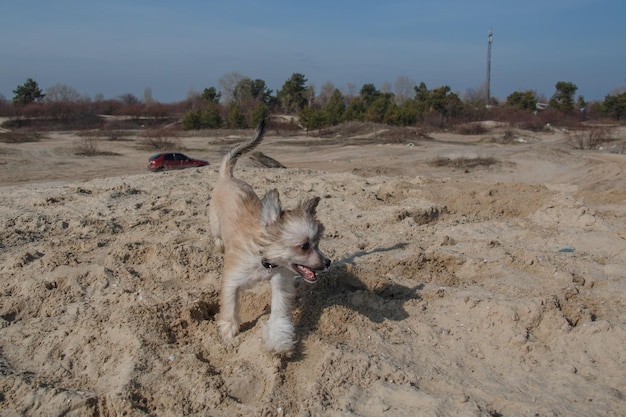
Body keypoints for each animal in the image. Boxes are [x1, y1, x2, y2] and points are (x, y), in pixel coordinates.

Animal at [208, 120, 332, 354]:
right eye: (304, 246)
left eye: (318, 243)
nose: (328, 262)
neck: (264, 260)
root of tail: (229, 177)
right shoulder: (232, 280)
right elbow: (230, 306)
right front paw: (228, 330)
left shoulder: (280, 285)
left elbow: (279, 316)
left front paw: (279, 341)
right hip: (215, 225)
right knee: (216, 236)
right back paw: (219, 245)